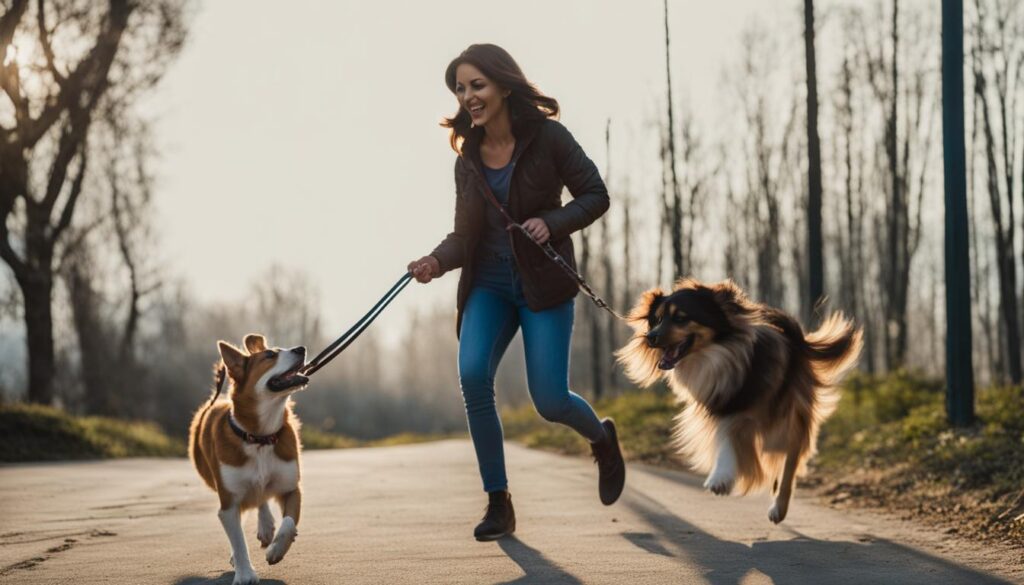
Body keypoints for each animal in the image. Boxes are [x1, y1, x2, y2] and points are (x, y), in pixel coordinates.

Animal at [188, 333, 307, 585]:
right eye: (270, 355)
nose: (301, 348)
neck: (260, 437)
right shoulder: (228, 502)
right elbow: (238, 541)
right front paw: (245, 573)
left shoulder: (291, 488)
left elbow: (289, 523)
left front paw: (276, 550)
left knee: (261, 498)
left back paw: (266, 526)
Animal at [618, 280, 860, 524]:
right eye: (657, 319)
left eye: (680, 318)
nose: (650, 337)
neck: (714, 355)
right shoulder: (723, 410)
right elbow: (728, 437)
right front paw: (722, 475)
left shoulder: (756, 412)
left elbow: (754, 446)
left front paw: (721, 479)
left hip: (786, 419)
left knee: (788, 457)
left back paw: (778, 506)